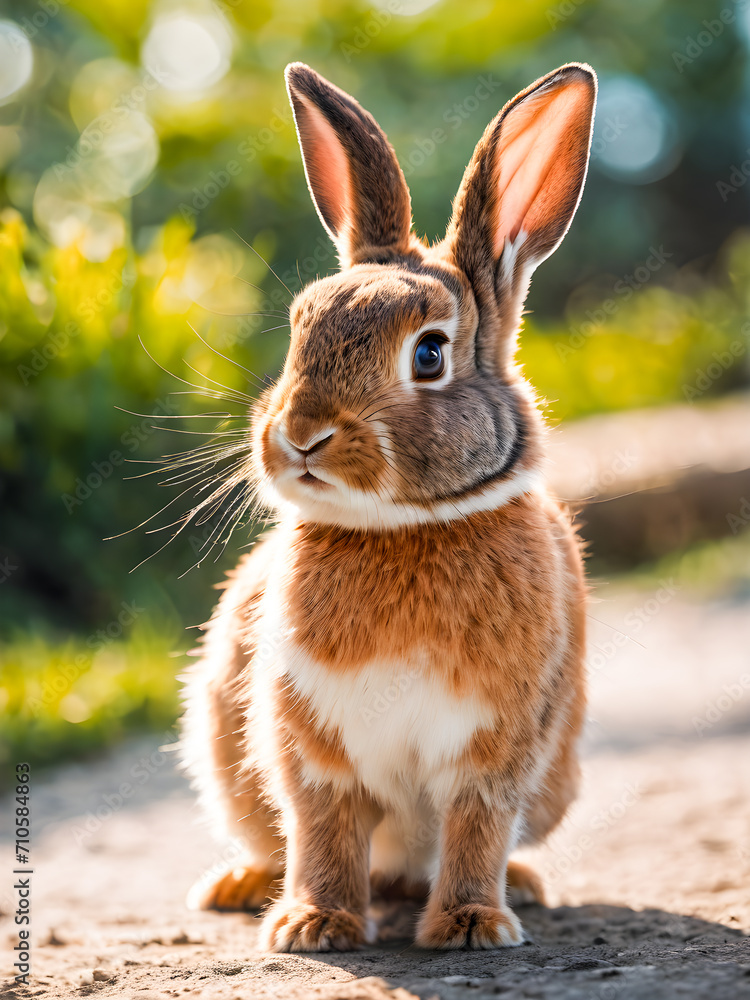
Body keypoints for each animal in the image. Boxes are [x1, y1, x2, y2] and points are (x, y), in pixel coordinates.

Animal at [180, 60, 596, 952]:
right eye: (300, 330)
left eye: (429, 354)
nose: (300, 434)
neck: (403, 529)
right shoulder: (311, 745)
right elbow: (324, 829)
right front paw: (313, 926)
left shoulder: (495, 746)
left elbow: (476, 826)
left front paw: (473, 925)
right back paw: (242, 886)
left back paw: (520, 886)